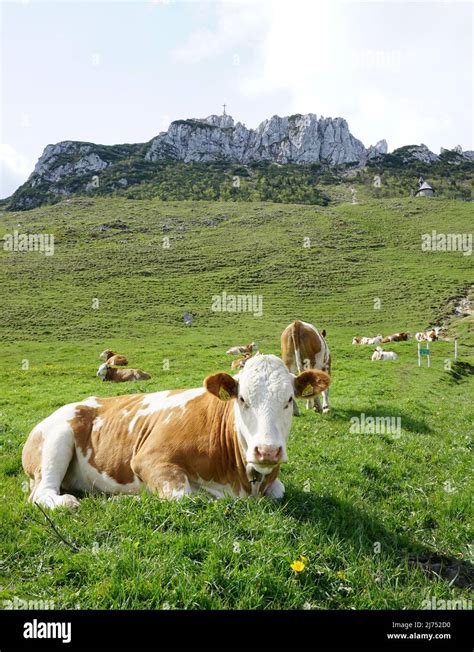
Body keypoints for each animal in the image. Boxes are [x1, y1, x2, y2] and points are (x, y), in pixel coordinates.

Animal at [21, 352, 330, 510]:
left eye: (288, 400)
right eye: (242, 399)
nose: (267, 451)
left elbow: (279, 490)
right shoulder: (148, 459)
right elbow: (187, 496)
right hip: (57, 439)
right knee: (43, 494)